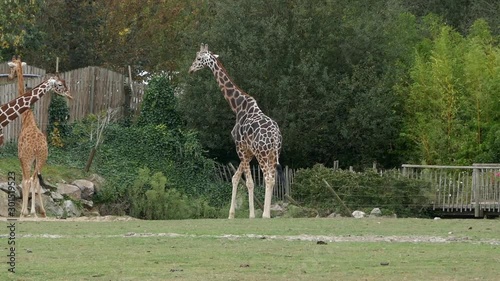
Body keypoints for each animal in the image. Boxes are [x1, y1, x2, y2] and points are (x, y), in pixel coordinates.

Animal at [6, 56, 72, 217]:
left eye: (12, 67)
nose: (10, 76)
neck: (27, 118)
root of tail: (36, 147)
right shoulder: (36, 160)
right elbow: (35, 181)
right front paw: (37, 210)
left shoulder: (20, 156)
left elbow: (25, 180)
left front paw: (26, 211)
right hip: (42, 158)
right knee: (35, 179)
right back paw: (38, 211)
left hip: (28, 158)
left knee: (28, 179)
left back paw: (25, 212)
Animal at [188, 44, 282, 219]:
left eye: (198, 58)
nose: (190, 69)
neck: (237, 107)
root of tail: (274, 136)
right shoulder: (248, 152)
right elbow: (235, 177)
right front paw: (231, 214)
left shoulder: (240, 147)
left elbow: (249, 182)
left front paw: (251, 215)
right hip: (273, 154)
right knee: (273, 177)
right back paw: (267, 213)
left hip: (262, 153)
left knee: (268, 178)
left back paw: (266, 215)